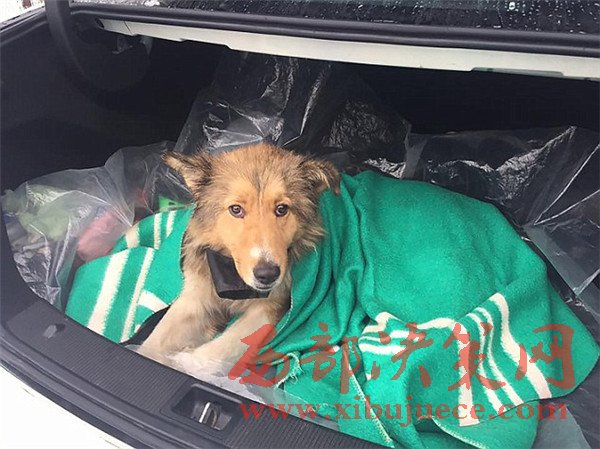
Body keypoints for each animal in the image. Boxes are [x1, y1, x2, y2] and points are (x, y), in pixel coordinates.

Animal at [138, 143, 340, 371]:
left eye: (282, 209)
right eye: (236, 209)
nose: (267, 274)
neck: (232, 279)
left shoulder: (272, 307)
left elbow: (223, 346)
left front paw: (185, 361)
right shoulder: (194, 298)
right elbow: (154, 341)